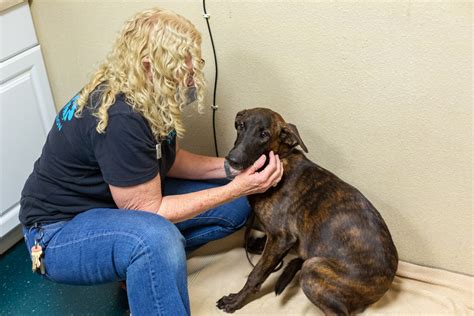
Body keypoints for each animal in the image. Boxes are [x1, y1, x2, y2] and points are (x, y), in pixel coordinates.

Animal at [217, 108, 398, 314]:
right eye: (241, 126)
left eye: (264, 135)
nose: (232, 160)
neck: (281, 157)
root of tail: (386, 285)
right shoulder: (275, 237)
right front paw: (255, 244)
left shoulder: (281, 238)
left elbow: (256, 273)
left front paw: (235, 301)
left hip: (312, 268)